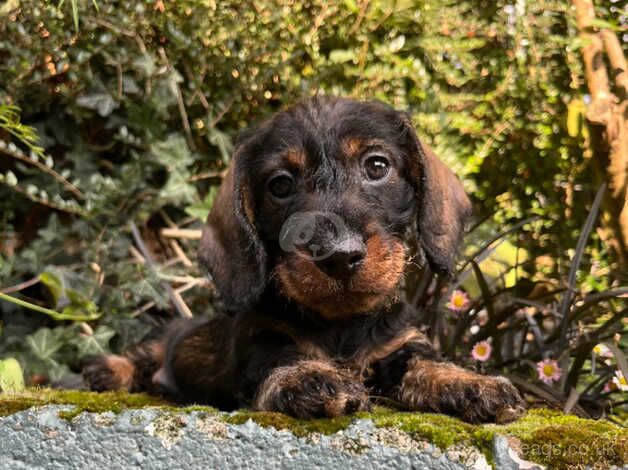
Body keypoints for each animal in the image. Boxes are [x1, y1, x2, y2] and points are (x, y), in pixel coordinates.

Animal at [83, 95, 524, 422]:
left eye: (377, 165)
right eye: (280, 185)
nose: (338, 255)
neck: (342, 323)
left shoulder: (400, 345)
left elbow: (424, 363)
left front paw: (469, 383)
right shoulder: (261, 338)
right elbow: (283, 359)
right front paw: (310, 378)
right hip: (169, 337)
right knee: (145, 352)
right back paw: (108, 369)